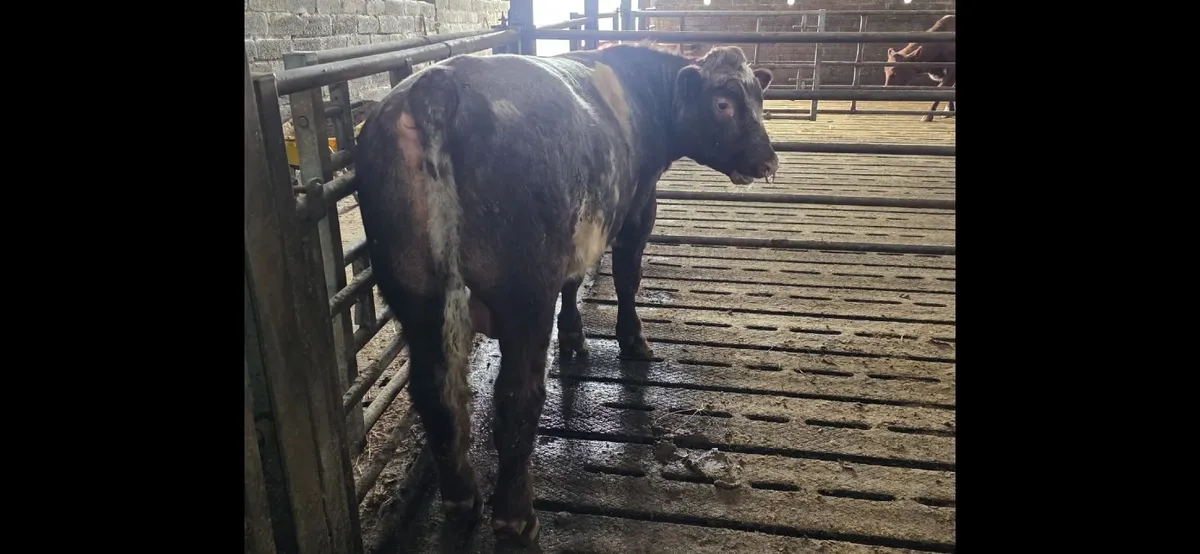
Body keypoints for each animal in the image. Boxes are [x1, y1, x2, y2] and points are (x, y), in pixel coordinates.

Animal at [353, 44, 778, 546]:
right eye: (723, 104)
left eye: (760, 99)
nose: (768, 161)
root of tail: (436, 84)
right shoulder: (637, 208)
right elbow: (626, 277)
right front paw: (633, 340)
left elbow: (575, 282)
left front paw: (574, 337)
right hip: (525, 294)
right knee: (518, 397)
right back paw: (515, 517)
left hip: (414, 294)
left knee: (434, 393)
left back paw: (461, 500)